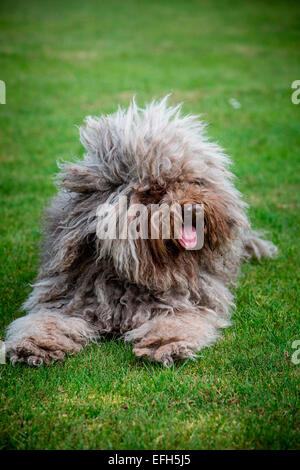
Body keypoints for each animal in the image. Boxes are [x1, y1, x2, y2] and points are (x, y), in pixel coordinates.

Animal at [4, 96, 278, 368]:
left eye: (192, 181)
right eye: (157, 188)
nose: (194, 209)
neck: (130, 276)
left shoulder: (187, 301)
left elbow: (178, 322)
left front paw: (167, 343)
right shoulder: (67, 297)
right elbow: (46, 321)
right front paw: (34, 346)